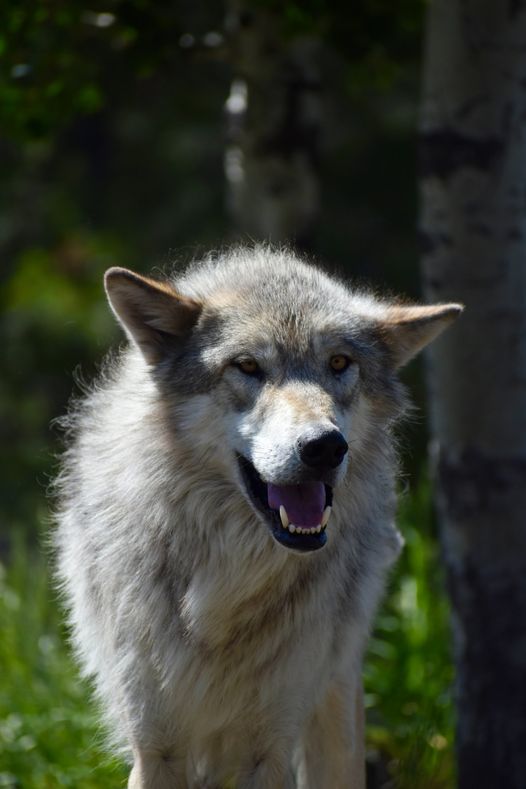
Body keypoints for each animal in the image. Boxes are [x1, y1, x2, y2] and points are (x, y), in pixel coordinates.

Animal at [54, 246, 461, 788]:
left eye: (339, 363)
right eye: (247, 365)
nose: (324, 447)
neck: (226, 589)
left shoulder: (268, 746)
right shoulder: (155, 747)